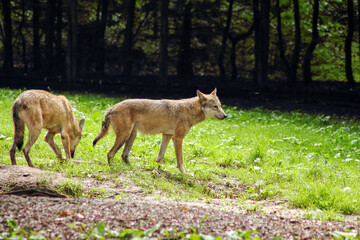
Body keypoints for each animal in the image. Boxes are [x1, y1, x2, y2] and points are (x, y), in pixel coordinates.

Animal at [93, 88, 228, 172]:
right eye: (215, 107)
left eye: (220, 106)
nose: (226, 115)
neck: (189, 110)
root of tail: (111, 107)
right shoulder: (178, 138)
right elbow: (180, 161)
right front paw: (184, 174)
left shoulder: (166, 136)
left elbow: (160, 158)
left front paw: (159, 170)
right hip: (125, 136)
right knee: (110, 153)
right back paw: (114, 168)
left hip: (132, 136)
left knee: (124, 155)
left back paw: (133, 168)